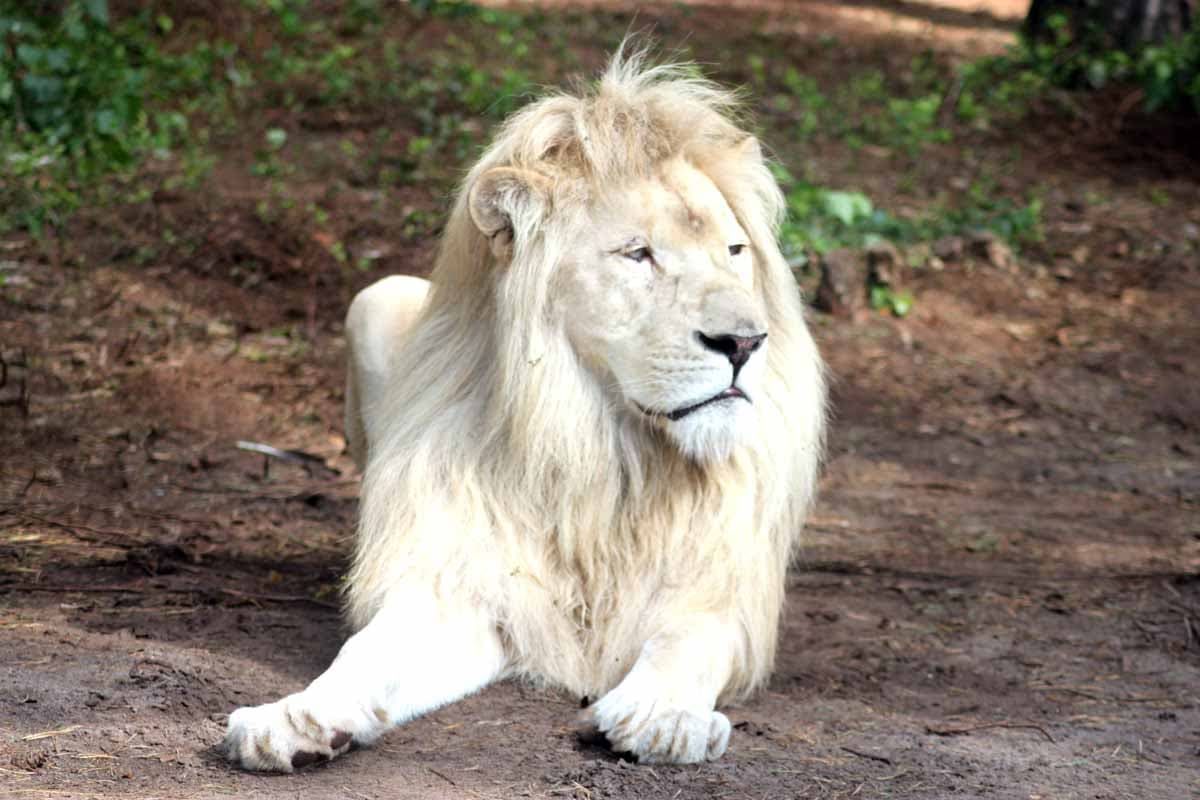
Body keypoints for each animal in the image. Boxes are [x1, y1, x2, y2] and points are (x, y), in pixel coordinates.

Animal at [223, 47, 825, 772]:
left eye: (735, 252)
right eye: (638, 254)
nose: (744, 342)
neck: (609, 451)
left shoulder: (721, 592)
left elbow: (687, 643)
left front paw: (662, 716)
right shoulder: (467, 587)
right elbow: (367, 651)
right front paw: (296, 718)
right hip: (374, 297)